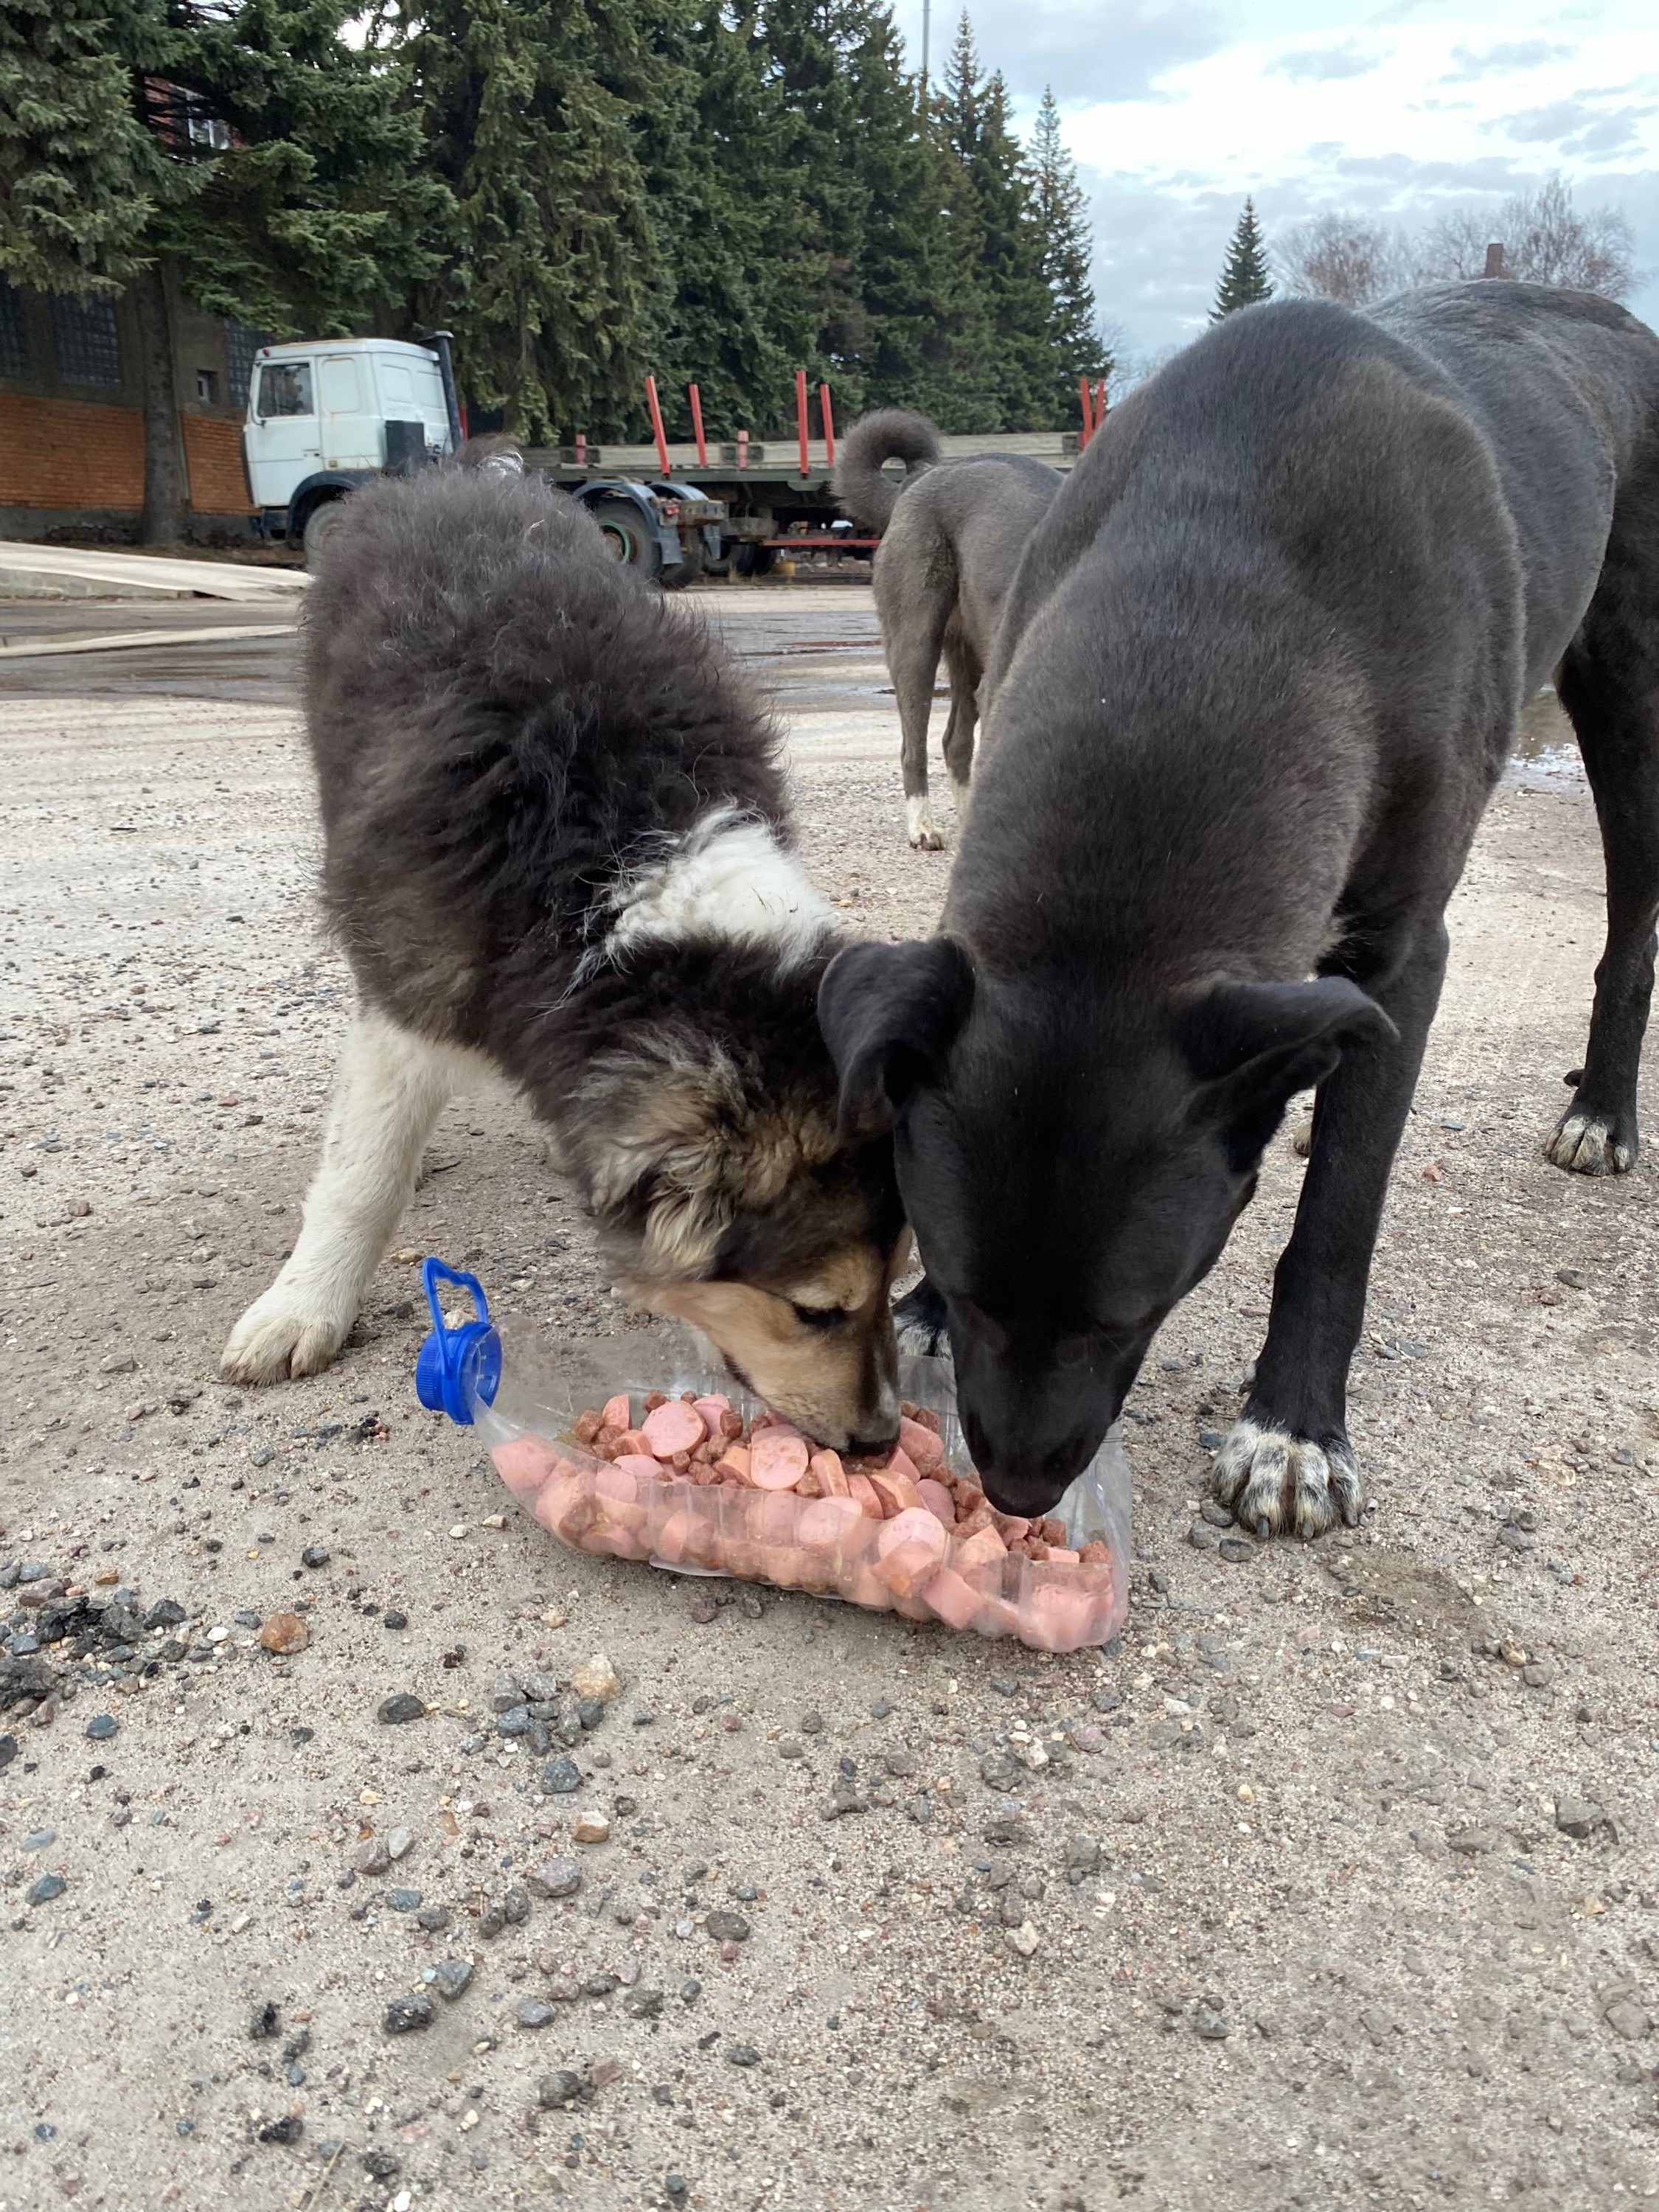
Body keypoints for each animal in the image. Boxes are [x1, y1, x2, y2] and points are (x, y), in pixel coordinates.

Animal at [823, 281, 1659, 1540]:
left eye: (1131, 1313)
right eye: (968, 1293)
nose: (1017, 1491)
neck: (1199, 610)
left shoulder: (1404, 953)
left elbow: (1336, 1222)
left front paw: (1293, 1430)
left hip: (1629, 690)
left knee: (1628, 929)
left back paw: (1601, 1111)